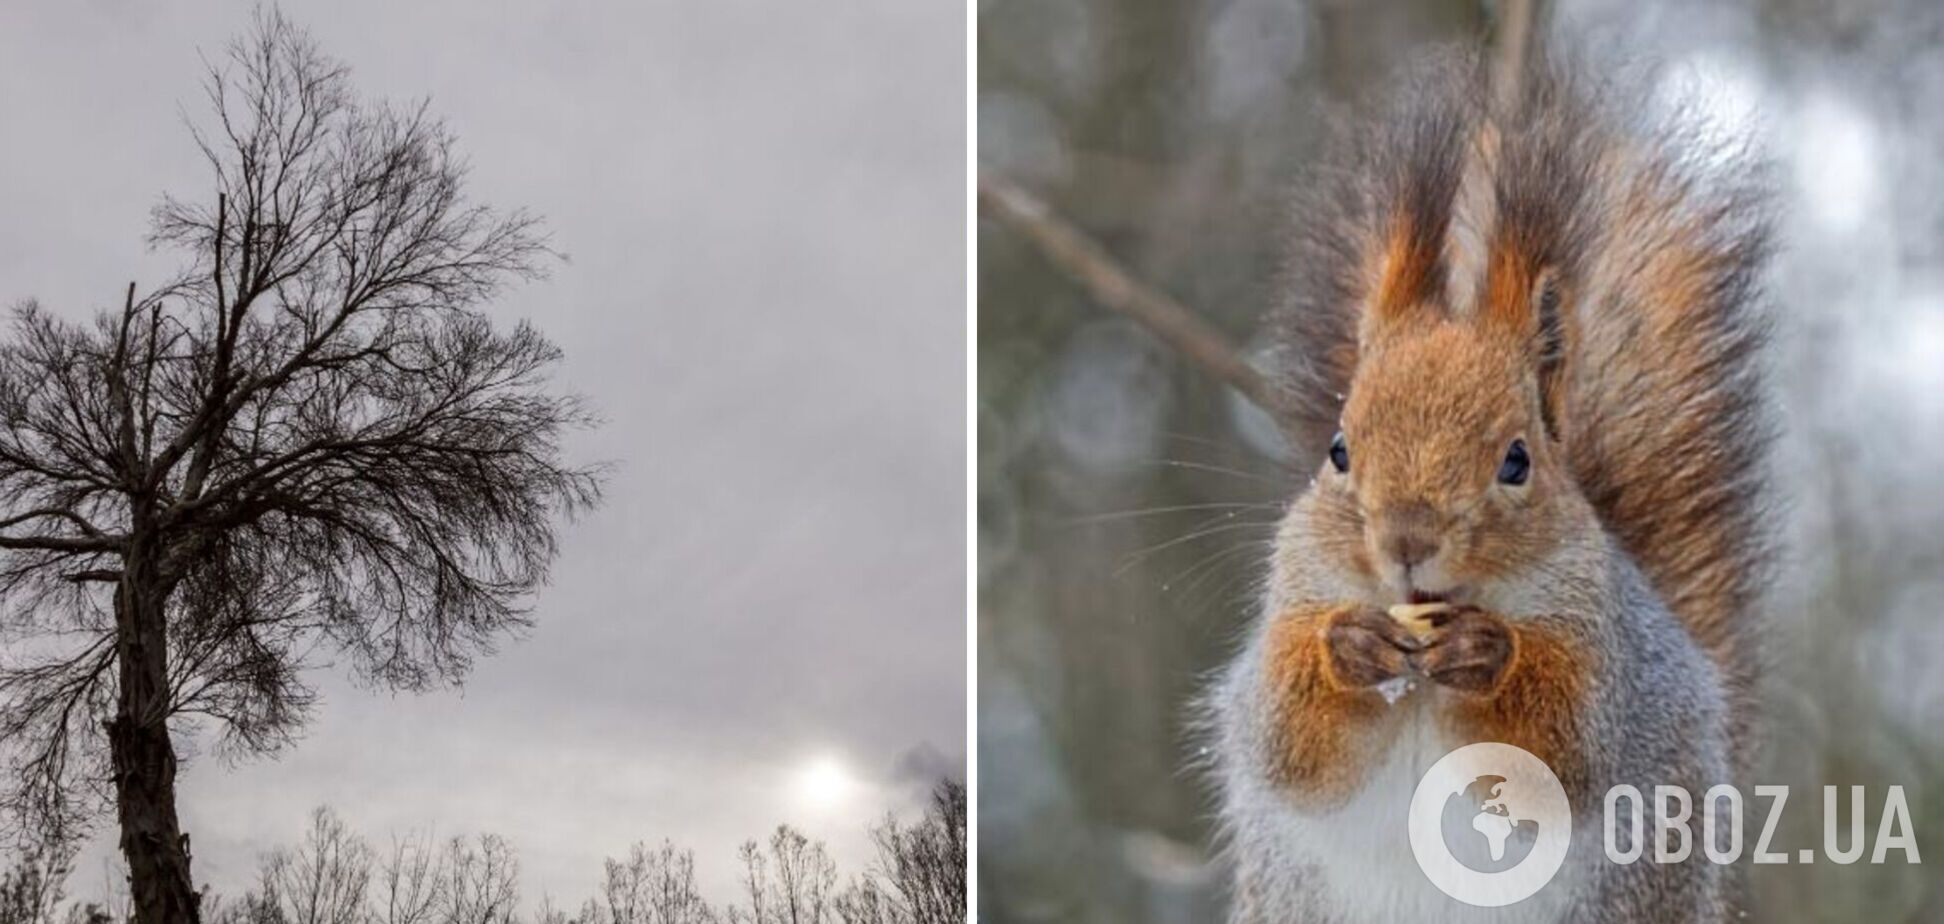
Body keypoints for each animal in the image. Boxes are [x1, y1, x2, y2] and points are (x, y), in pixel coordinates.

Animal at [1213, 45, 1780, 924]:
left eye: (1517, 461)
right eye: (1339, 450)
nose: (1407, 540)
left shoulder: (1605, 654)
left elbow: (1561, 748)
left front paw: (1487, 654)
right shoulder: (1296, 598)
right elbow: (1289, 742)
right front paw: (1351, 646)